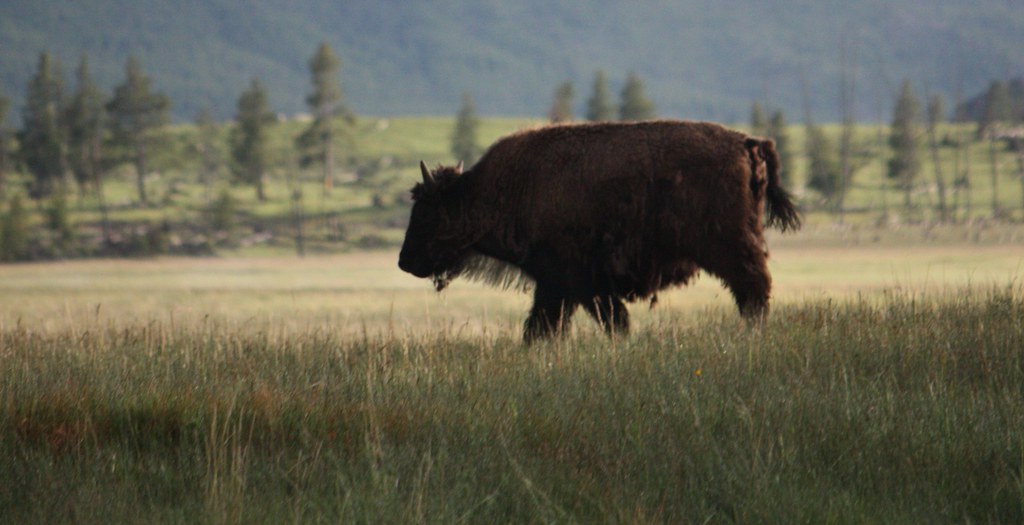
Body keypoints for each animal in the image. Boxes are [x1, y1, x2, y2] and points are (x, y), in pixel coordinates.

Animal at [398, 120, 801, 342]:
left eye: (428, 212)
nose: (404, 261)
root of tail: (746, 143)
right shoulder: (555, 285)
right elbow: (540, 327)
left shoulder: (581, 283)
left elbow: (610, 322)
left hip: (729, 249)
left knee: (753, 290)